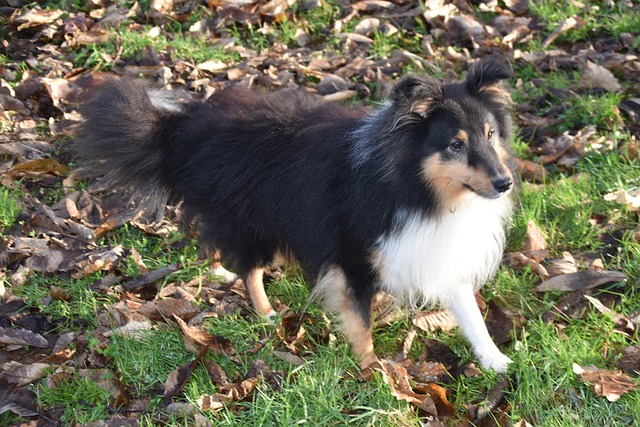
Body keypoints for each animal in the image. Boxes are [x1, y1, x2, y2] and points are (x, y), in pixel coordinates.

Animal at [74, 56, 516, 372]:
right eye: (456, 145)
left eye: (491, 134)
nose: (505, 183)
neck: (418, 188)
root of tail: (184, 127)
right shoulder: (354, 259)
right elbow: (362, 324)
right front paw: (374, 372)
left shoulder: (439, 248)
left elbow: (469, 311)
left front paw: (496, 361)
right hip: (252, 220)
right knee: (250, 269)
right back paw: (267, 312)